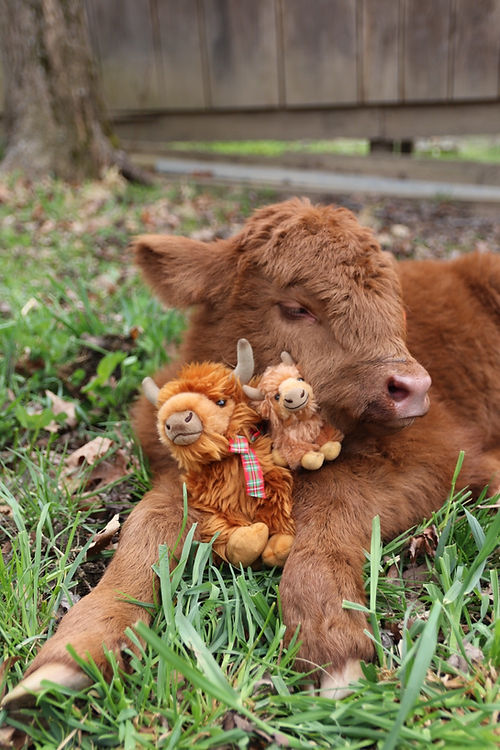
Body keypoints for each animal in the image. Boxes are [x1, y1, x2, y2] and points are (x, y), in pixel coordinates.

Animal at [3, 197, 500, 707]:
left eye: (396, 307)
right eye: (297, 308)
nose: (414, 387)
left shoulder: (445, 456)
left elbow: (333, 495)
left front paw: (333, 644)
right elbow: (146, 524)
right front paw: (72, 653)